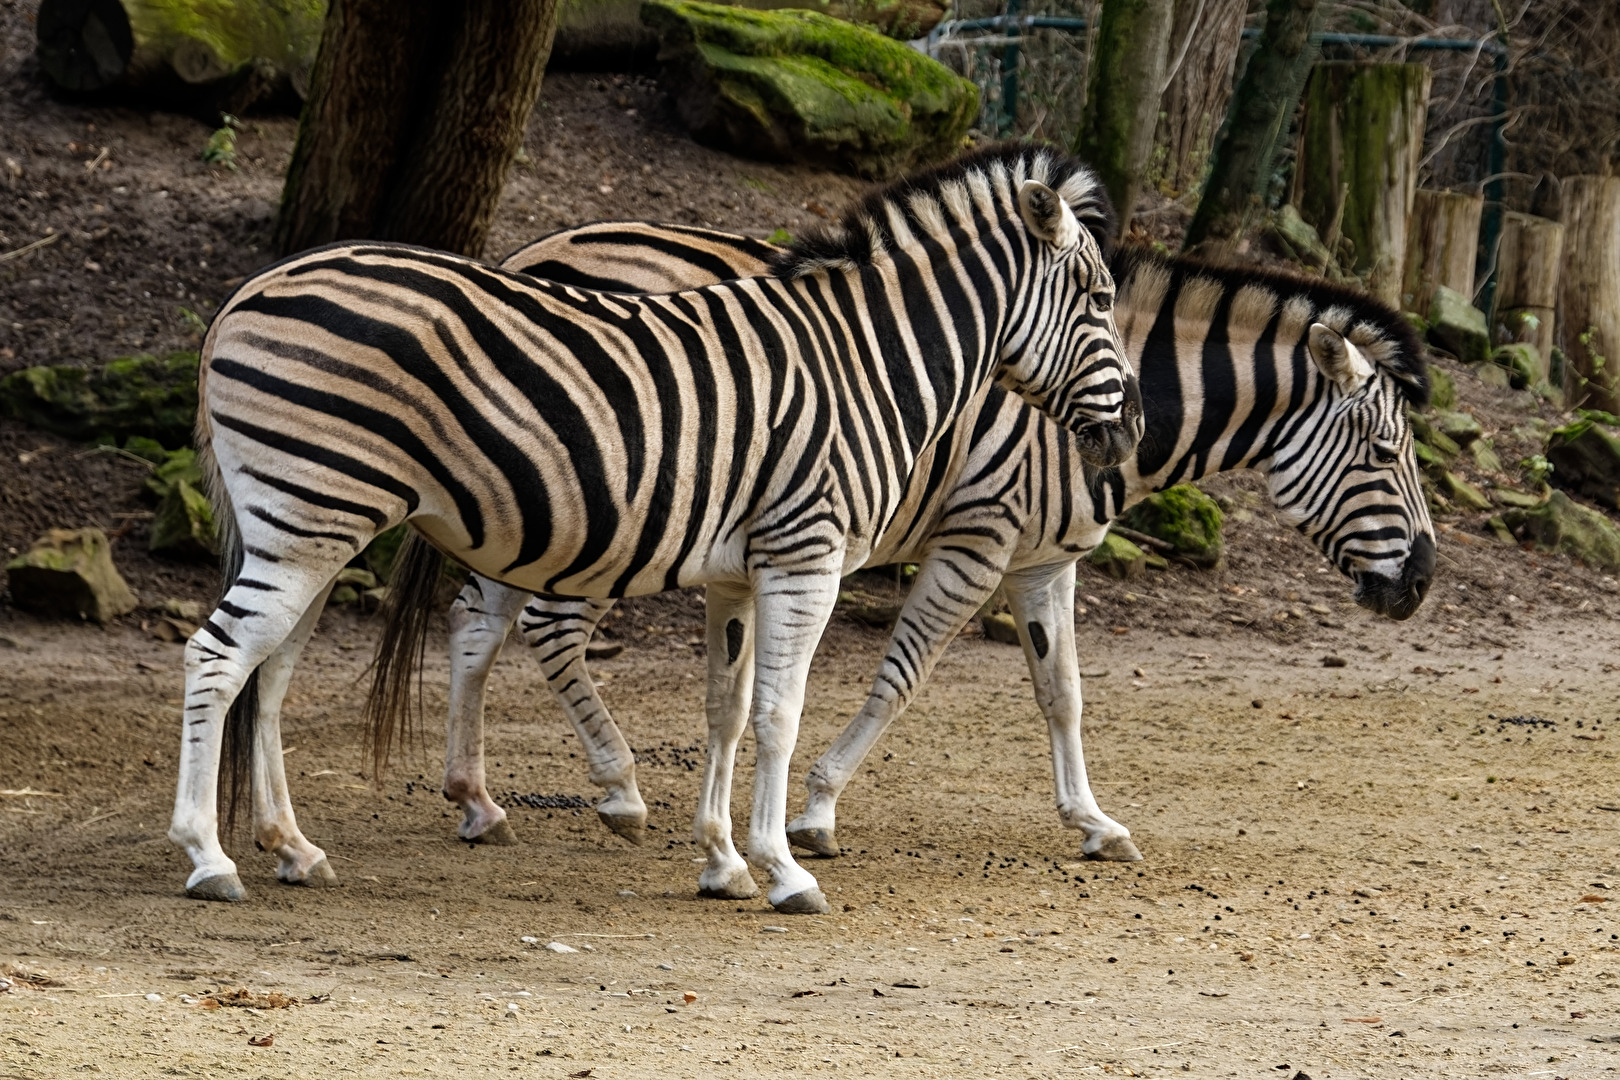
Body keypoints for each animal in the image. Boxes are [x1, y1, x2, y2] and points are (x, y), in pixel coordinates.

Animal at [167, 143, 1141, 914]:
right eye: (1098, 298)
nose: (1130, 433)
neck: (867, 361)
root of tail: (246, 294)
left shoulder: (738, 572)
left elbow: (727, 709)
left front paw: (722, 861)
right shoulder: (808, 555)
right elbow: (779, 713)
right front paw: (786, 869)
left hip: (312, 524)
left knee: (271, 671)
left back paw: (293, 847)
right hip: (310, 514)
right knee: (217, 657)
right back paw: (210, 858)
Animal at [399, 222, 1434, 883]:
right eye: (1386, 454)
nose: (1422, 583)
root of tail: (535, 249)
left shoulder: (1044, 560)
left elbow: (1062, 693)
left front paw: (1092, 822)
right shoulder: (978, 537)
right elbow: (902, 673)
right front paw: (814, 812)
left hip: (525, 508)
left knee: (476, 623)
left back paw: (475, 798)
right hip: (607, 512)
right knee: (546, 627)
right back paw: (616, 787)